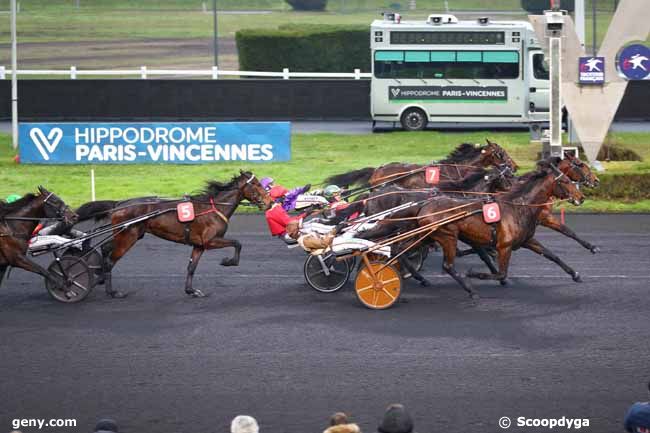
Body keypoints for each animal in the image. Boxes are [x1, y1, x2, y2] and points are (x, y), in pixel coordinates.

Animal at [76, 170, 270, 298]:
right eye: (256, 184)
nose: (269, 201)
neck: (214, 208)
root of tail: (119, 204)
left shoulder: (199, 245)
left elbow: (191, 267)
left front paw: (191, 291)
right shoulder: (210, 241)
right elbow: (238, 243)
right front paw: (228, 261)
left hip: (126, 234)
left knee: (105, 247)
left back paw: (100, 276)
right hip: (128, 237)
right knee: (110, 260)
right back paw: (112, 291)